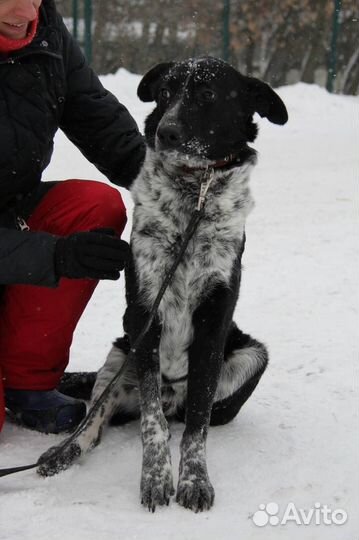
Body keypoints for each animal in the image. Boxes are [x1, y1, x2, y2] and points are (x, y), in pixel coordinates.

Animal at [37, 57, 290, 512]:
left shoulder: (213, 321)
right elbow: (151, 421)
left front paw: (194, 479)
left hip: (250, 355)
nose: (165, 132)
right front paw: (156, 478)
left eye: (207, 95)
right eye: (166, 93)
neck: (195, 192)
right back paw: (65, 451)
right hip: (120, 359)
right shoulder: (143, 314)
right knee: (97, 423)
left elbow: (197, 427)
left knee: (189, 416)